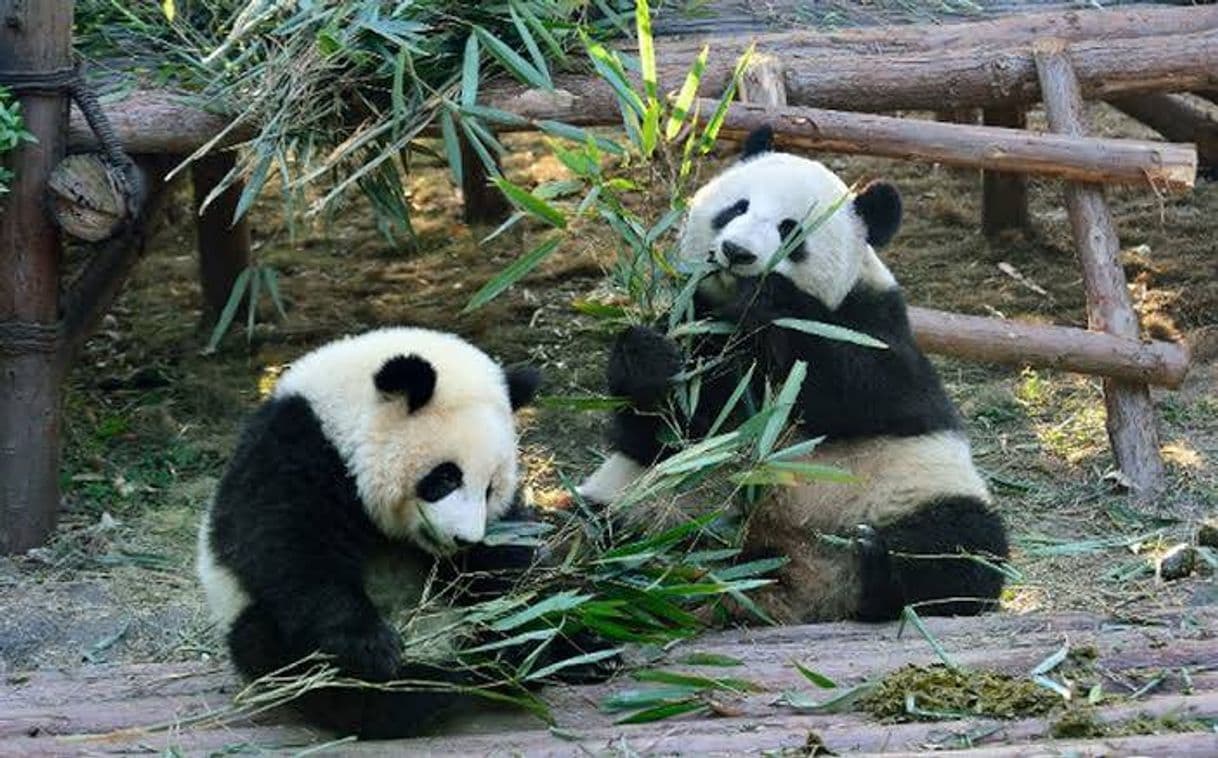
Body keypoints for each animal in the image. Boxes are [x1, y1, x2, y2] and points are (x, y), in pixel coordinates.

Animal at [202, 329, 618, 740]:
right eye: (446, 477)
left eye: (490, 488)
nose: (464, 541)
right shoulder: (292, 450)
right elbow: (287, 548)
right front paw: (371, 647)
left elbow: (509, 567)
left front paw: (519, 634)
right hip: (251, 621)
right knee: (295, 661)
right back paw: (425, 688)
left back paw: (567, 655)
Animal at [579, 129, 1008, 628]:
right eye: (736, 208)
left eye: (790, 230)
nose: (737, 253)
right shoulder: (697, 319)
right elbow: (658, 430)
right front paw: (652, 361)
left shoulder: (876, 324)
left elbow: (870, 389)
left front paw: (769, 298)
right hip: (648, 507)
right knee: (583, 541)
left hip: (910, 490)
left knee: (959, 550)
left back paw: (878, 565)